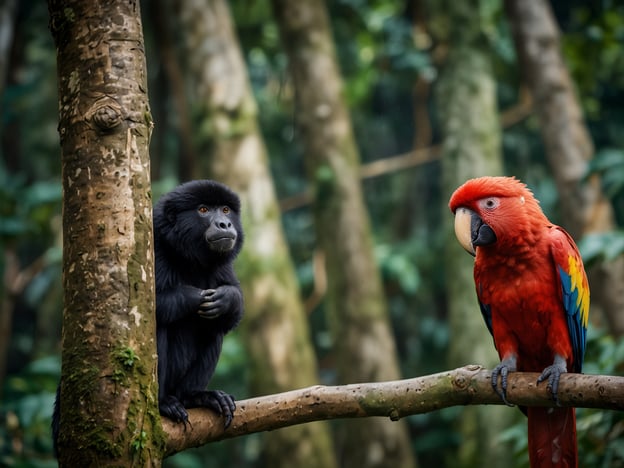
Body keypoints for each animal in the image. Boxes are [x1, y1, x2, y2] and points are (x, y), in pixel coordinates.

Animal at [154, 178, 244, 424]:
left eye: (225, 209)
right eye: (203, 210)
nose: (224, 223)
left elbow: (232, 313)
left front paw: (227, 298)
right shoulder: (155, 247)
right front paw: (193, 297)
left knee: (214, 326)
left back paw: (194, 396)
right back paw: (163, 402)